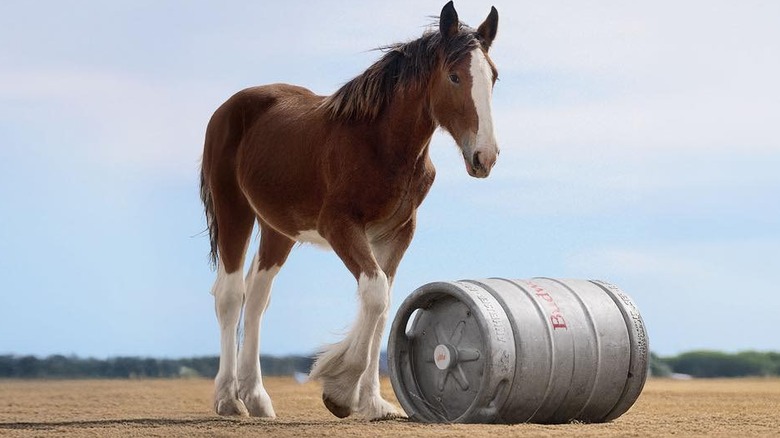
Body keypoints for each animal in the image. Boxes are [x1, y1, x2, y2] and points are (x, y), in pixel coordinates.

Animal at [198, 2, 496, 420]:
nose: (485, 156)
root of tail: (228, 108)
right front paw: (340, 389)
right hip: (233, 209)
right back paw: (228, 398)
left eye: (493, 77)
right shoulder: (339, 226)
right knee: (230, 295)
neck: (379, 143)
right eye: (454, 76)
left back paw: (256, 397)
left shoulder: (397, 233)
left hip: (279, 229)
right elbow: (375, 294)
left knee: (257, 297)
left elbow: (384, 307)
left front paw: (373, 402)